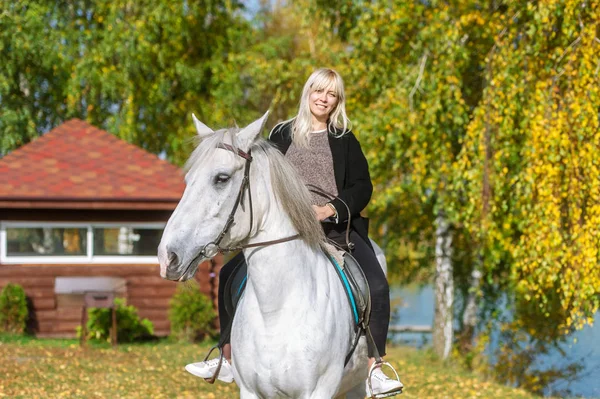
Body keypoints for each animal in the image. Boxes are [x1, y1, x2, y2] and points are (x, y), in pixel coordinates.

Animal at [162, 113, 372, 399]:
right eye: (188, 180)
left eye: (221, 178)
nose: (168, 256)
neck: (276, 310)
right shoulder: (251, 391)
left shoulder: (318, 391)